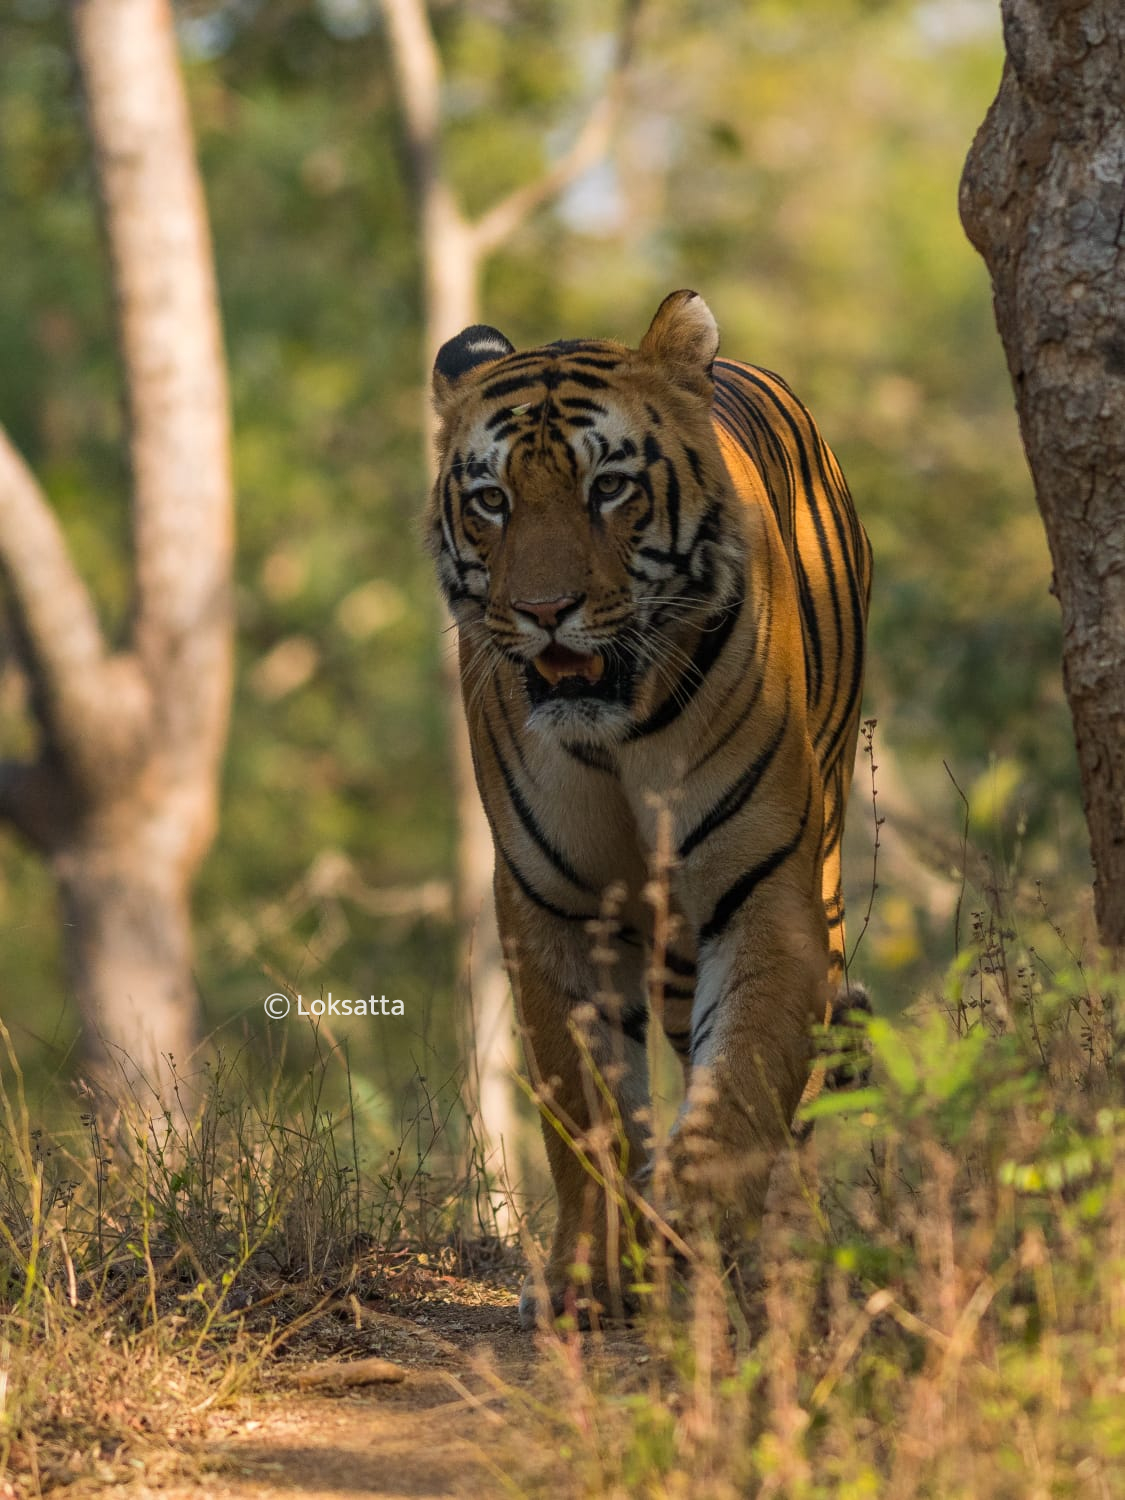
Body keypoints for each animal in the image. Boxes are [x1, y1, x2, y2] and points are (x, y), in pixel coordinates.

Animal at [426, 289, 876, 1326]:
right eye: (492, 499)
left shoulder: (764, 894)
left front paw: (700, 1246)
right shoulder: (555, 906)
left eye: (610, 488)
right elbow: (584, 1106)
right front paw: (591, 1275)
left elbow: (739, 1089)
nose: (545, 611)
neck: (614, 734)